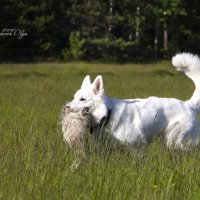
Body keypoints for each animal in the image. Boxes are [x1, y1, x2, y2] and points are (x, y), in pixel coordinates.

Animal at [67, 52, 200, 149]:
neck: (108, 114)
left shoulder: (137, 147)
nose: (66, 108)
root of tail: (188, 104)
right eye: (74, 97)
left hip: (176, 142)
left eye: (82, 99)